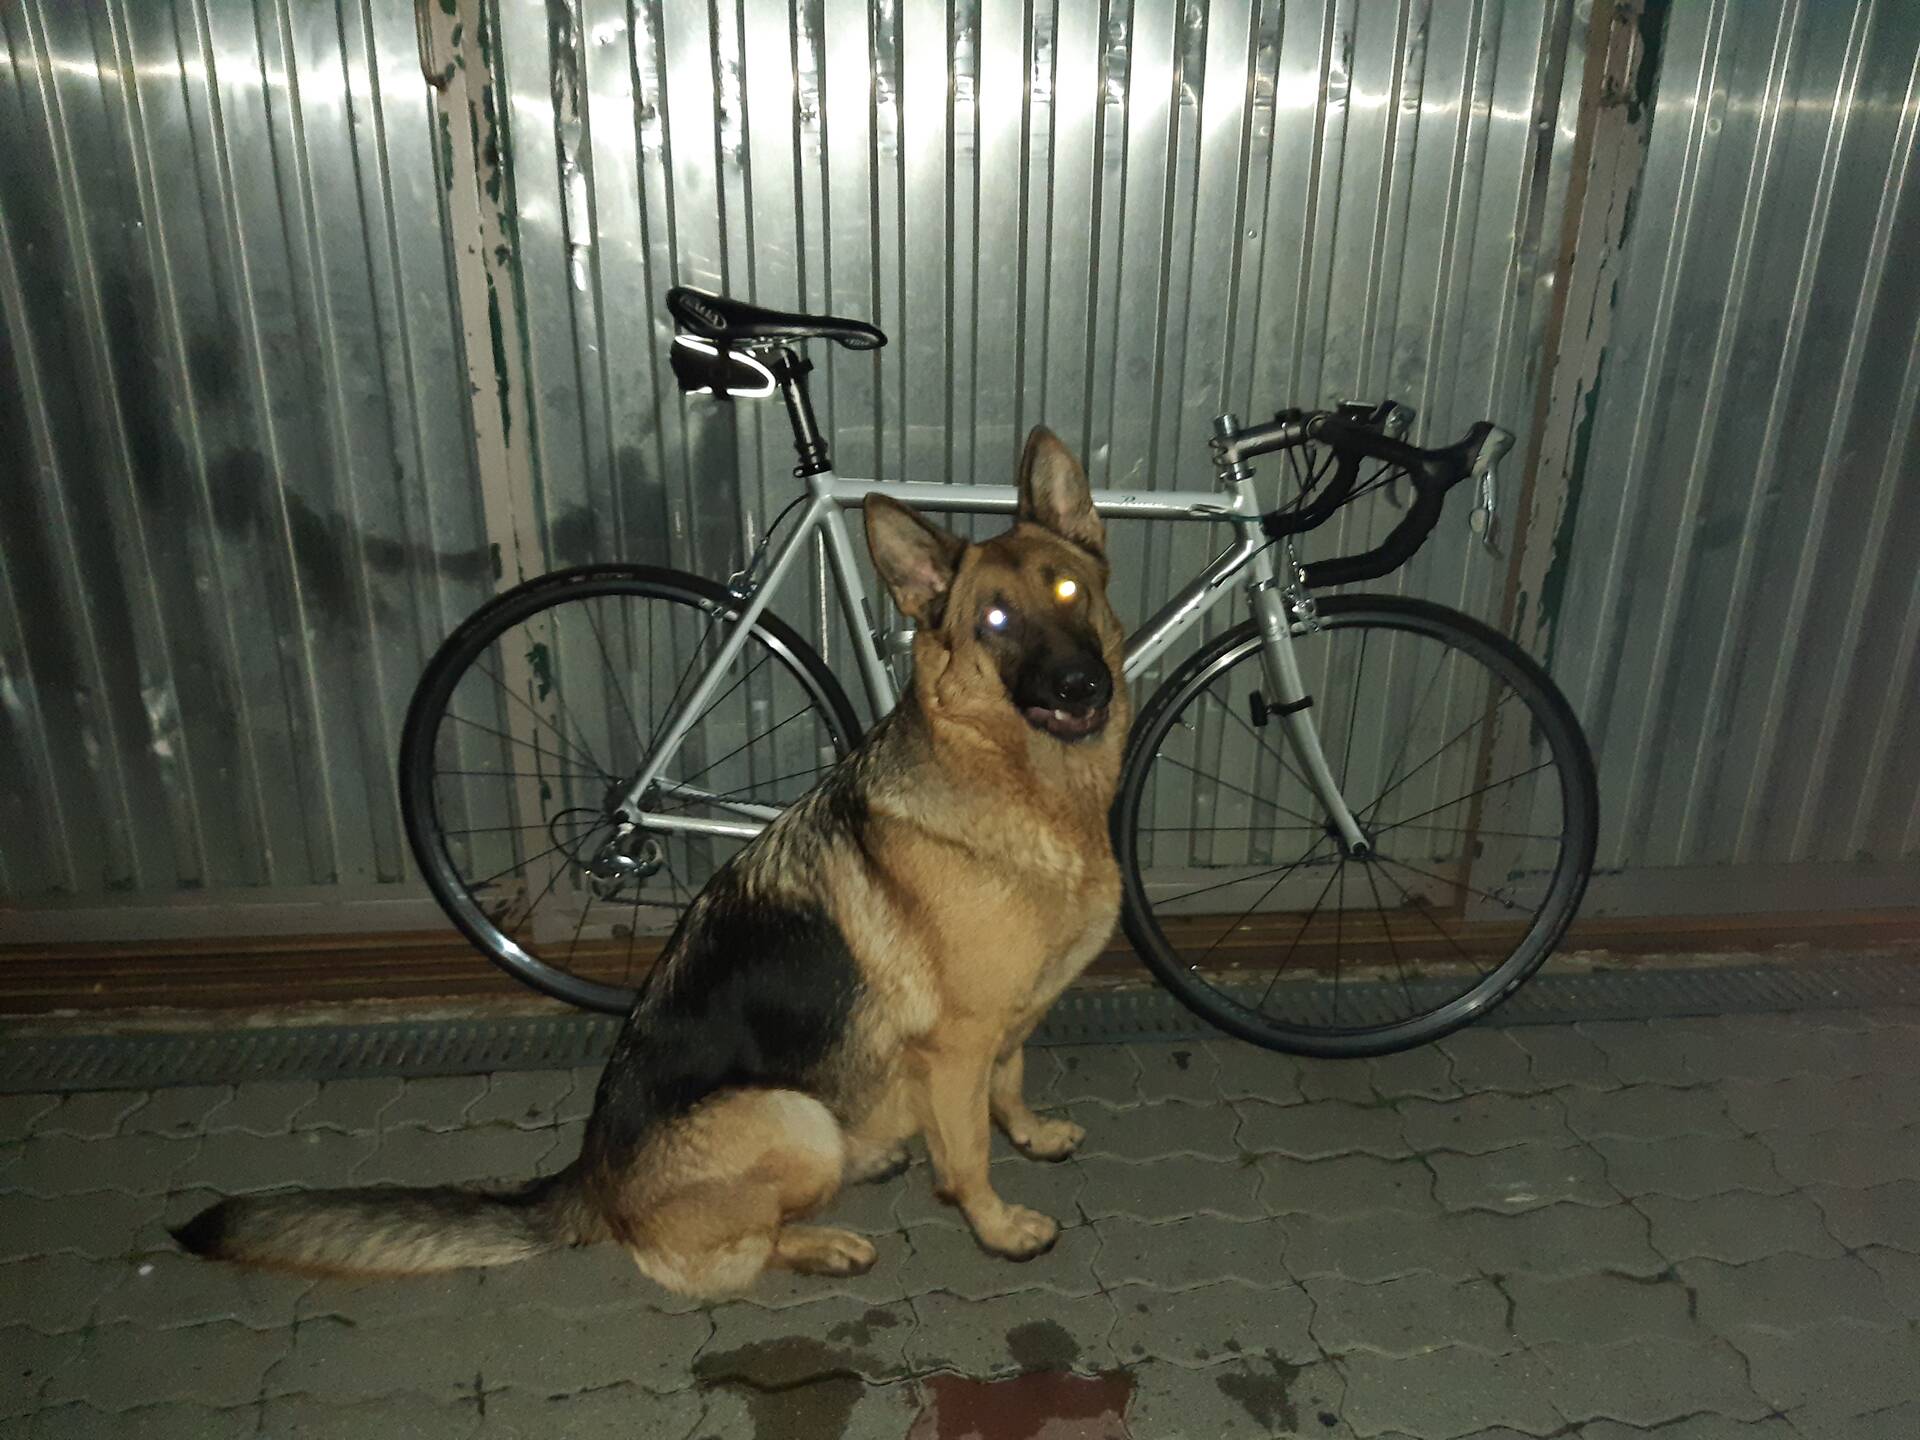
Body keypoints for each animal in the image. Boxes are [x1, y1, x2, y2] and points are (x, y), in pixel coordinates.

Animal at [174, 426, 1130, 1296]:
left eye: (1069, 589)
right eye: (995, 622)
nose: (1084, 686)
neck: (1022, 785)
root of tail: (590, 1181)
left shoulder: (1008, 1022)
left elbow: (1008, 1085)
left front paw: (1031, 1133)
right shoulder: (958, 1044)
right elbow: (967, 1157)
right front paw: (997, 1226)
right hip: (792, 1117)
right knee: (721, 1257)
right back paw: (824, 1243)